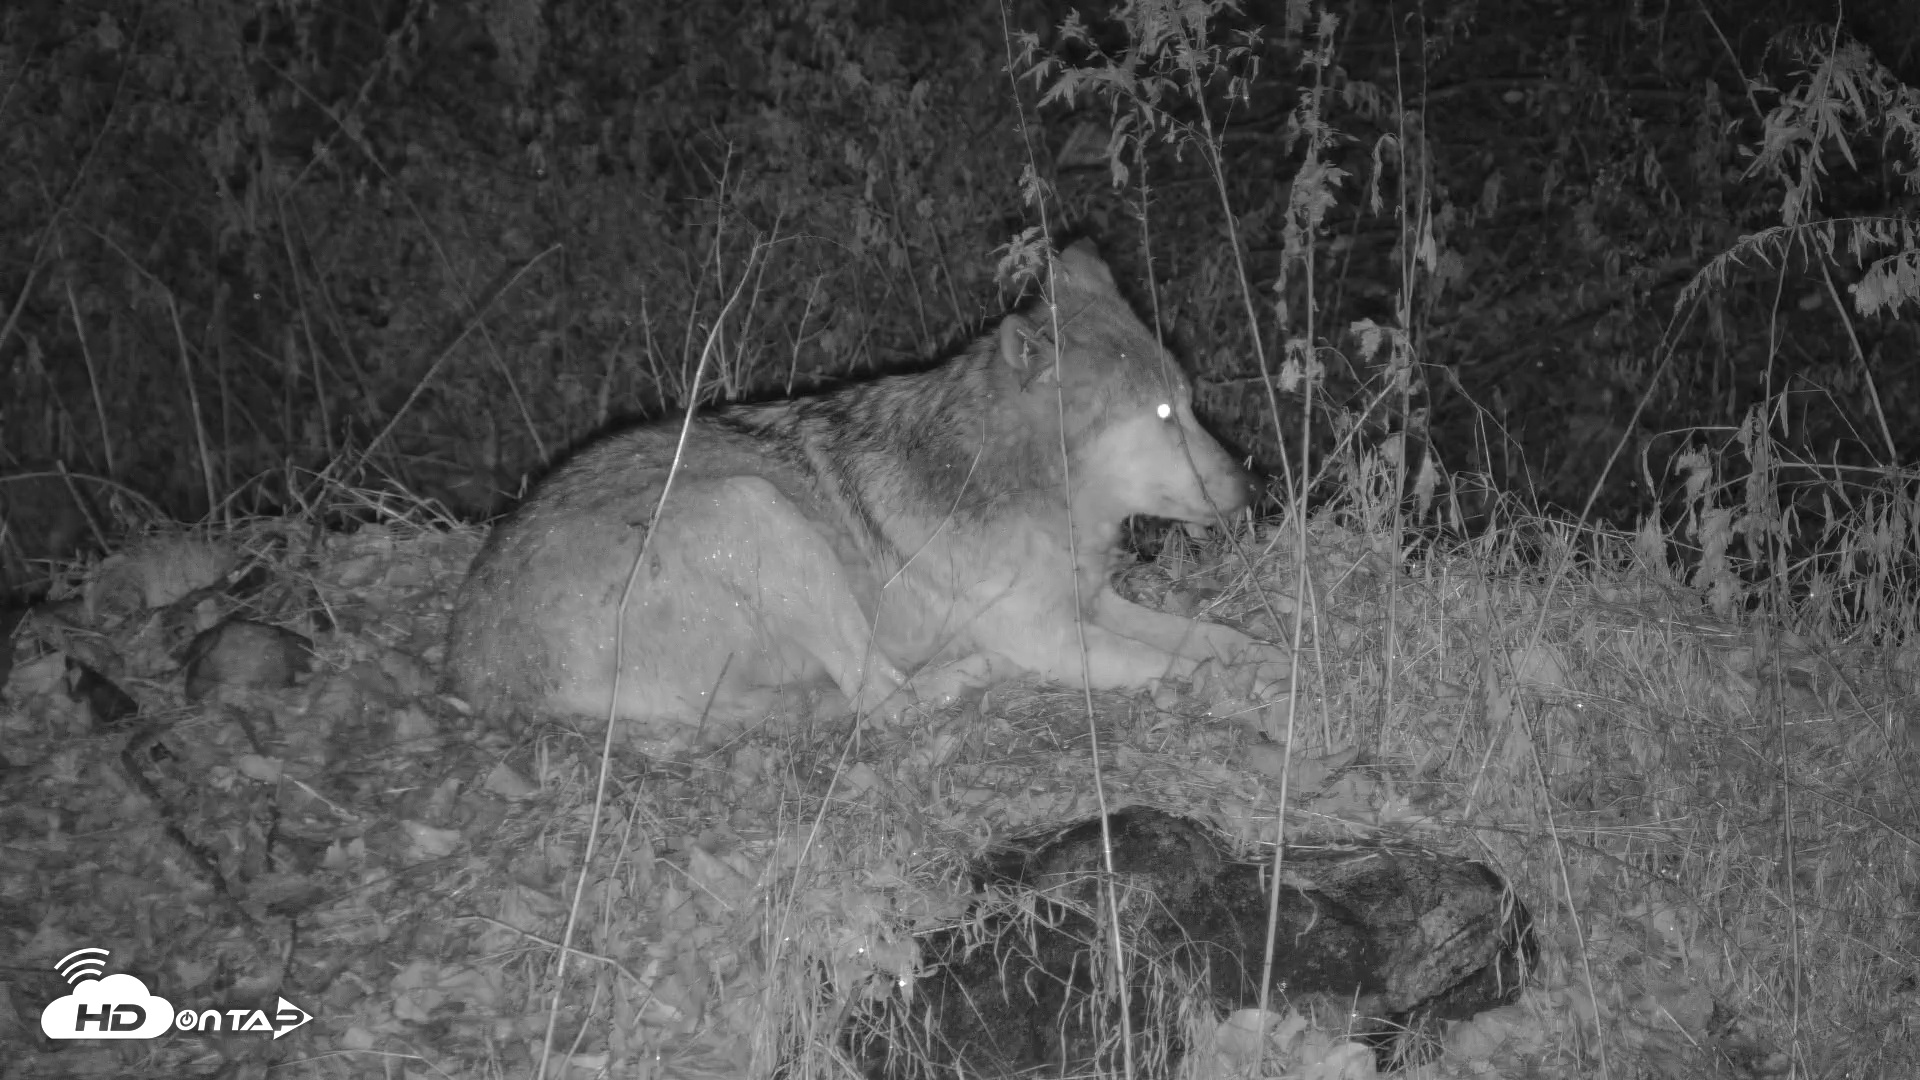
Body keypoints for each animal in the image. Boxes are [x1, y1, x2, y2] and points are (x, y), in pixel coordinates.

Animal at [445, 241, 1286, 740]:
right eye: (1166, 416)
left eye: (1187, 401)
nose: (1256, 485)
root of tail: (483, 674)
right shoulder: (1050, 634)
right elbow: (1171, 664)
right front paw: (1248, 683)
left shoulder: (1092, 601)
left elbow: (1211, 635)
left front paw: (1266, 650)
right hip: (755, 510)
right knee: (884, 697)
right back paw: (974, 675)